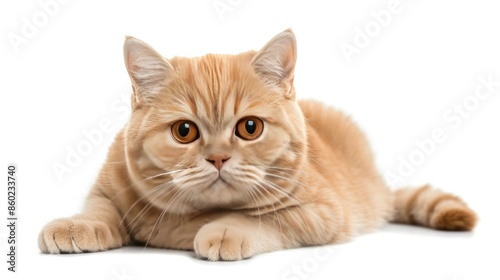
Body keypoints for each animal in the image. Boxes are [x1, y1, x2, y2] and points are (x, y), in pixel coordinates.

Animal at [39, 28, 476, 260]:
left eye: (250, 128)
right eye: (184, 132)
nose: (217, 157)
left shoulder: (322, 212)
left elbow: (260, 218)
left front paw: (224, 230)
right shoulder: (108, 187)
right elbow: (98, 209)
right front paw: (75, 225)